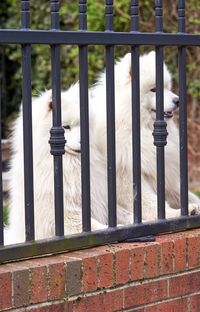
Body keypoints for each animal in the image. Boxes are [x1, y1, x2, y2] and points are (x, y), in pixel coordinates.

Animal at [92, 51, 200, 222]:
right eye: (154, 89)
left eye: (167, 87)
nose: (178, 100)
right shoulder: (127, 174)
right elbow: (151, 203)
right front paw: (174, 214)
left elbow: (185, 194)